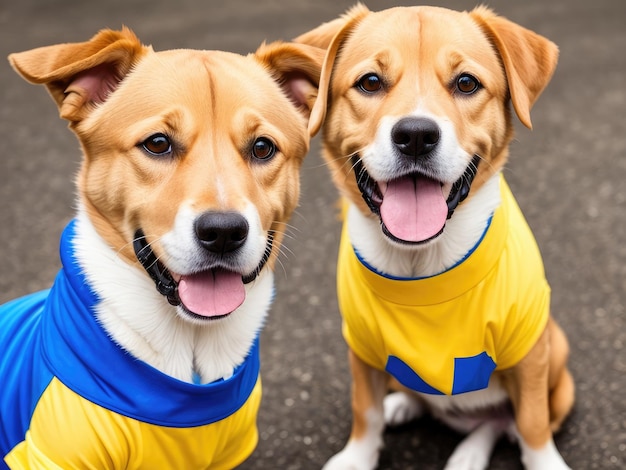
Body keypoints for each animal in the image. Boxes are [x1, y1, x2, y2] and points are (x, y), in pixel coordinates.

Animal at [294, 3, 572, 470]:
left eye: (466, 83)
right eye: (370, 82)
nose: (416, 136)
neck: (419, 265)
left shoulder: (530, 352)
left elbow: (532, 424)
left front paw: (544, 462)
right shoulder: (360, 346)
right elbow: (365, 410)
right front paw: (358, 455)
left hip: (560, 365)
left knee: (503, 422)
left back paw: (469, 452)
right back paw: (404, 405)